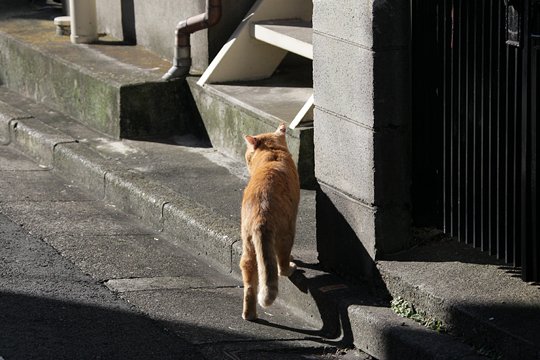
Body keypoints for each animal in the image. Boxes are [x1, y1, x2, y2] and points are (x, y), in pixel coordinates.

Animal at [239, 122, 300, 320]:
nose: (246, 159)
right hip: (287, 233)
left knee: (250, 284)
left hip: (248, 247)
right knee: (281, 265)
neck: (272, 154)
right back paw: (290, 267)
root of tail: (261, 216)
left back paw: (249, 315)